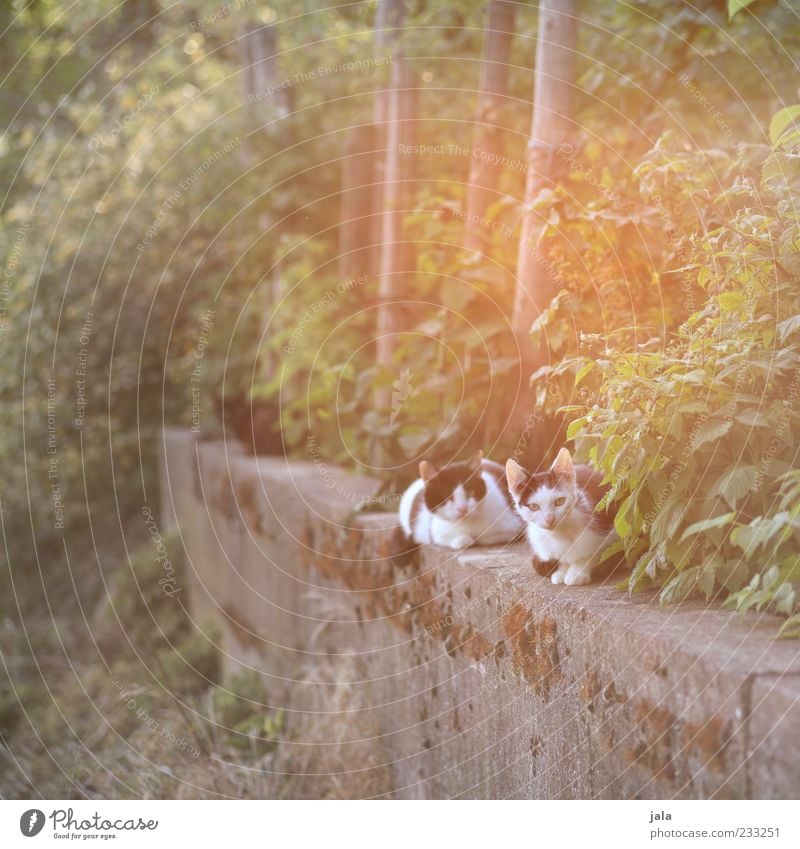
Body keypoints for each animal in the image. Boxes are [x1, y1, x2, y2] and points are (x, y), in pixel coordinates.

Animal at [506, 448, 620, 588]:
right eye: (534, 506)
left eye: (560, 501)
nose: (549, 519)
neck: (560, 534)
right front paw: (562, 571)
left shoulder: (610, 530)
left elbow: (594, 553)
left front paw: (576, 572)